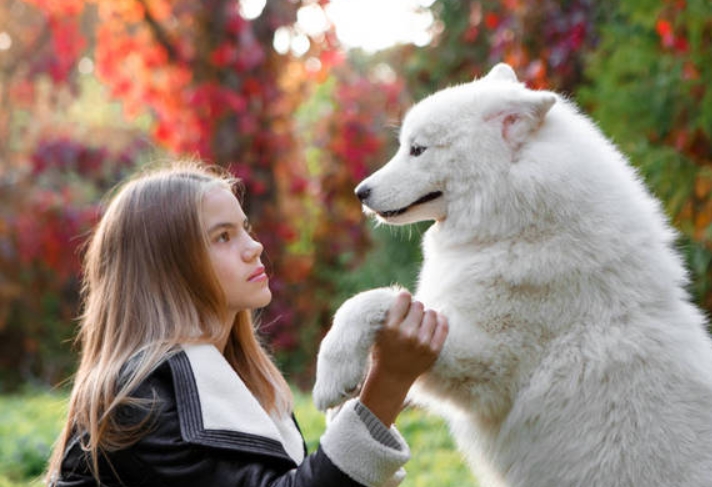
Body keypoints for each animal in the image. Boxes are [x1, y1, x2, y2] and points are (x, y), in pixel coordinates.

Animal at [314, 65, 712, 487]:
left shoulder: (488, 364)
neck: (523, 228)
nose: (360, 192)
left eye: (417, 150)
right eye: (405, 146)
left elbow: (369, 300)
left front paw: (331, 375)